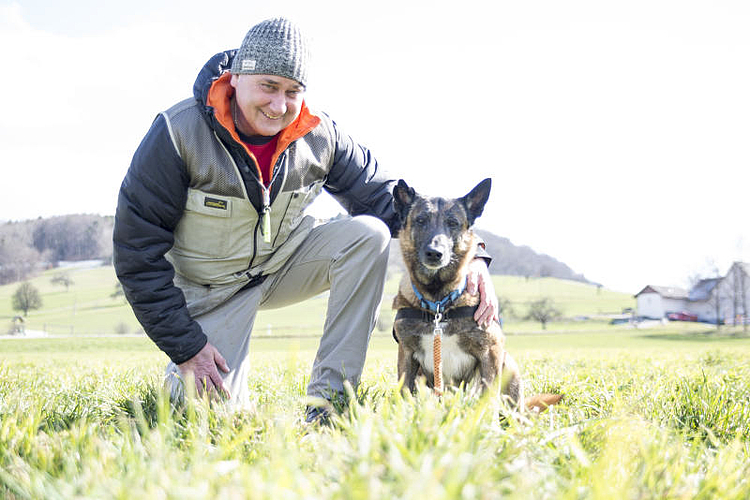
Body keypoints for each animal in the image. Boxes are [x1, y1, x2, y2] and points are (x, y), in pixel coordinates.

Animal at [390, 178, 560, 412]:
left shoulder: (491, 351)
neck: (438, 301)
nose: (435, 253)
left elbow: (488, 397)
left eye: (453, 223)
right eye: (421, 220)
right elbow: (403, 393)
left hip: (508, 365)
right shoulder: (406, 354)